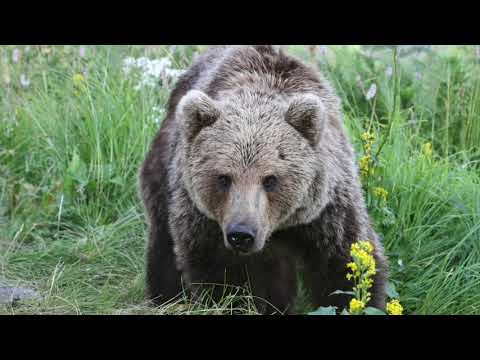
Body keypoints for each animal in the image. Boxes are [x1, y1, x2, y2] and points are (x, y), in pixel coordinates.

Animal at [139, 45, 386, 316]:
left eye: (270, 179)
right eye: (223, 177)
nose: (241, 234)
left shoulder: (327, 213)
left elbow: (343, 267)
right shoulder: (205, 222)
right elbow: (223, 279)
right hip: (165, 175)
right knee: (164, 243)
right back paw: (166, 297)